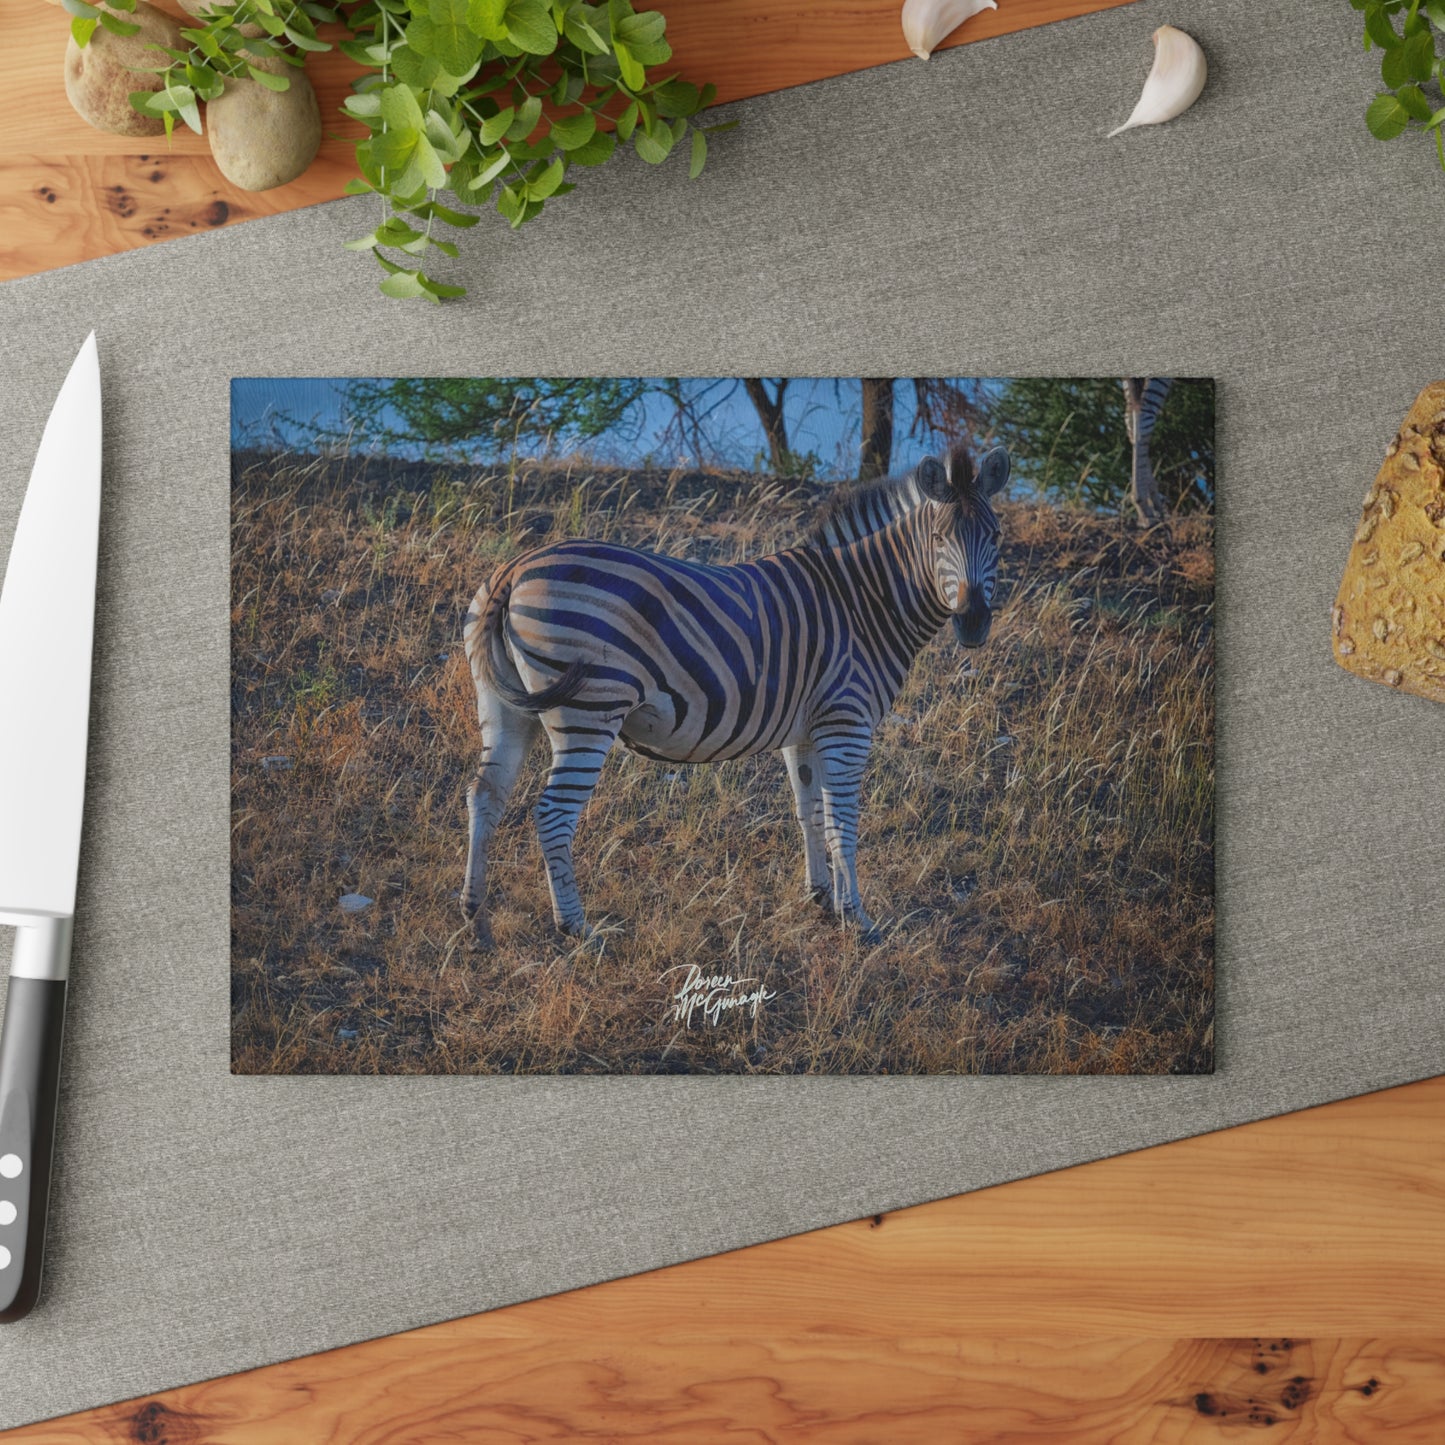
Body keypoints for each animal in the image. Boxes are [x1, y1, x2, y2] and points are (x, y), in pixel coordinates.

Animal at [459, 442, 1011, 949]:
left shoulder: (805, 731)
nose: (974, 623)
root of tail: (514, 569)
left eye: (996, 536)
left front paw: (821, 898)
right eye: (939, 539)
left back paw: (476, 914)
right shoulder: (847, 723)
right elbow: (842, 822)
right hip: (589, 711)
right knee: (552, 815)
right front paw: (858, 918)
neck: (863, 603)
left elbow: (809, 812)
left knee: (485, 796)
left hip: (503, 707)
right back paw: (577, 928)